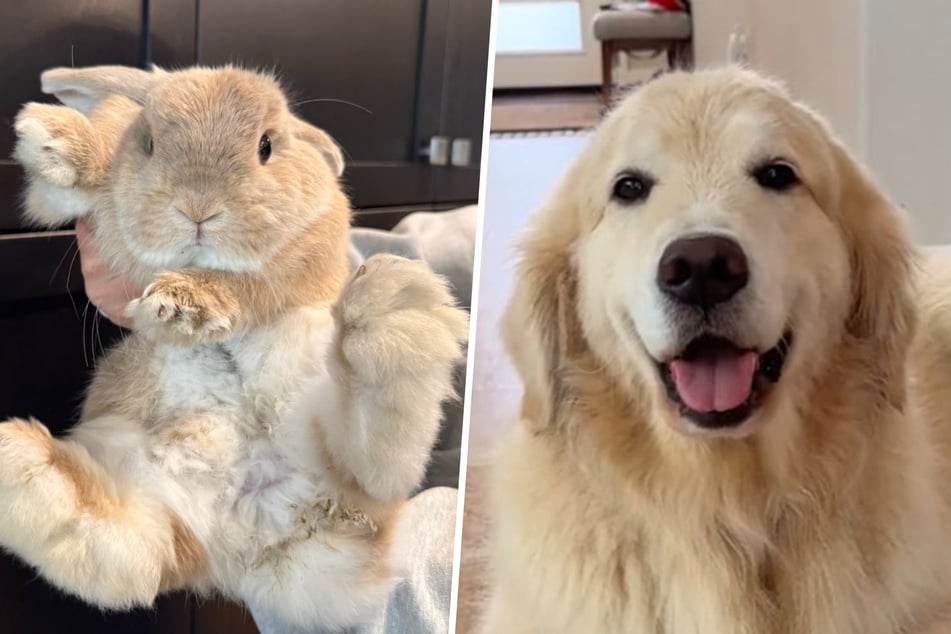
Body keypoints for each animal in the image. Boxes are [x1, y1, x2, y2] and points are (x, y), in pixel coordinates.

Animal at [1, 64, 470, 628]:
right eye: (150, 142)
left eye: (266, 146)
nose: (198, 207)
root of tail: (256, 533)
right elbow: (65, 191)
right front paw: (51, 138)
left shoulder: (304, 258)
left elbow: (252, 285)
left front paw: (184, 302)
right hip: (149, 491)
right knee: (128, 553)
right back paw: (20, 453)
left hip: (310, 374)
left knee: (371, 466)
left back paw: (390, 307)